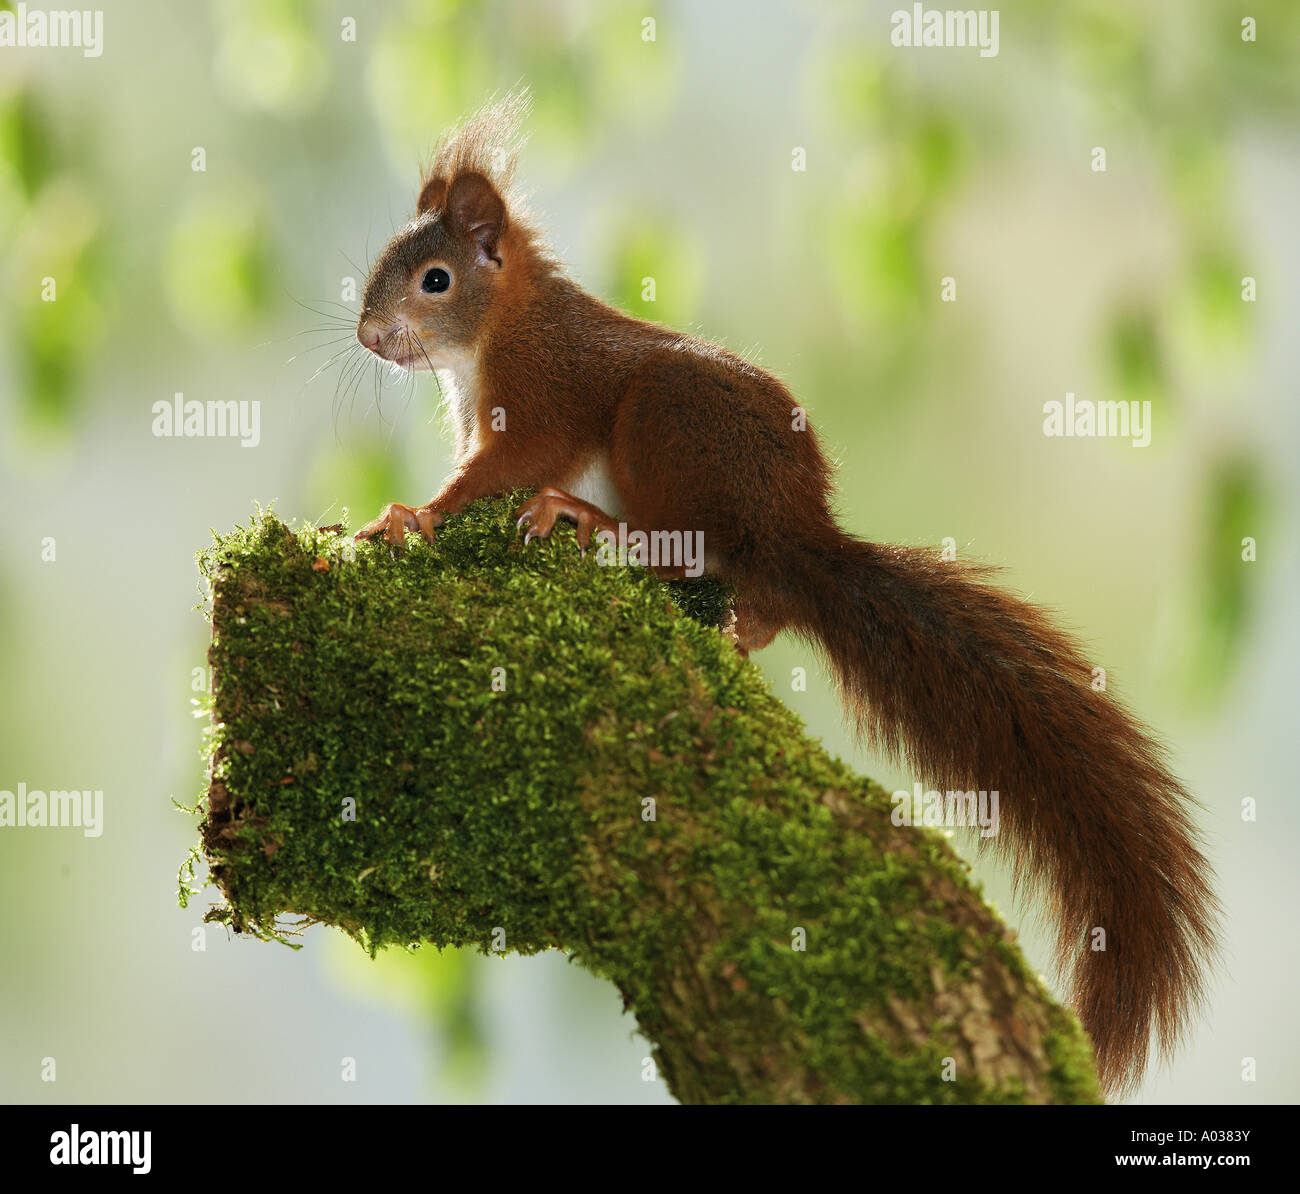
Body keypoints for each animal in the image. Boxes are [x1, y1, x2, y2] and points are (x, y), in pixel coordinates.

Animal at [351, 93, 1219, 1097]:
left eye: (436, 280)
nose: (368, 337)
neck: (497, 331)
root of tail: (791, 538)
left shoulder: (544, 393)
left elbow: (499, 469)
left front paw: (411, 515)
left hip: (662, 421)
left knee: (685, 548)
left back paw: (590, 520)